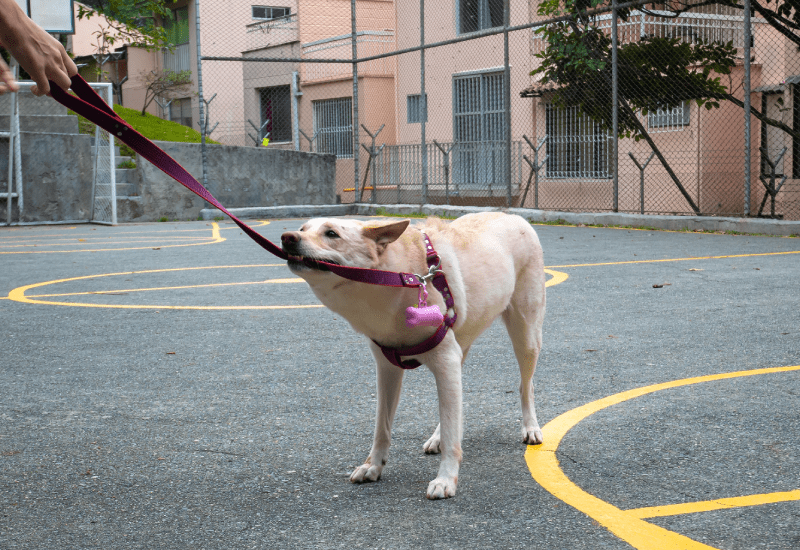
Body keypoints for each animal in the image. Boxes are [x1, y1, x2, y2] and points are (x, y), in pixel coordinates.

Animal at [278, 212, 548, 500]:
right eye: (302, 228)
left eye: (331, 234)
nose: (287, 238)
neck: (392, 276)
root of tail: (512, 215)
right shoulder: (388, 367)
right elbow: (382, 428)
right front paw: (373, 466)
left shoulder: (445, 360)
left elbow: (452, 433)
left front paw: (446, 479)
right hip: (461, 346)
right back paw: (437, 437)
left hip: (526, 337)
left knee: (525, 386)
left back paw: (530, 427)